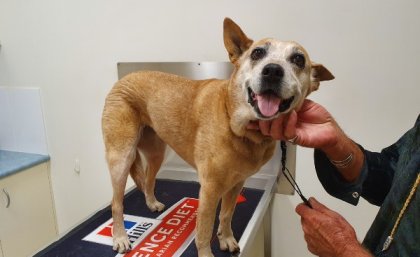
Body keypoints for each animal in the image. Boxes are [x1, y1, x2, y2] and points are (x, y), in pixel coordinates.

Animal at [101, 17, 334, 255]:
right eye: (257, 53)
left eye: (298, 59)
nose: (272, 71)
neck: (240, 129)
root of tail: (124, 78)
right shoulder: (210, 189)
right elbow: (204, 231)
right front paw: (207, 252)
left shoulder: (236, 183)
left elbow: (226, 215)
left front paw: (226, 238)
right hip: (122, 157)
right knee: (116, 203)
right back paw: (120, 237)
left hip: (156, 153)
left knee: (148, 181)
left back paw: (151, 203)